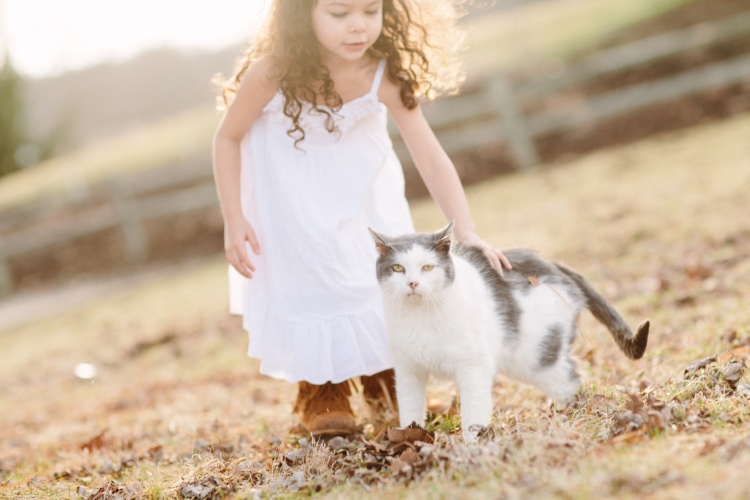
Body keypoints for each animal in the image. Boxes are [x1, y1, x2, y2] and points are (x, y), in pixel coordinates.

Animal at [370, 223, 652, 442]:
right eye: (398, 268)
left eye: (428, 267)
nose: (413, 283)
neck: (420, 316)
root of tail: (551, 264)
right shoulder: (408, 371)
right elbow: (410, 411)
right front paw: (408, 442)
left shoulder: (473, 366)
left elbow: (473, 411)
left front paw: (474, 448)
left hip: (534, 356)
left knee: (569, 379)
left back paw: (567, 415)